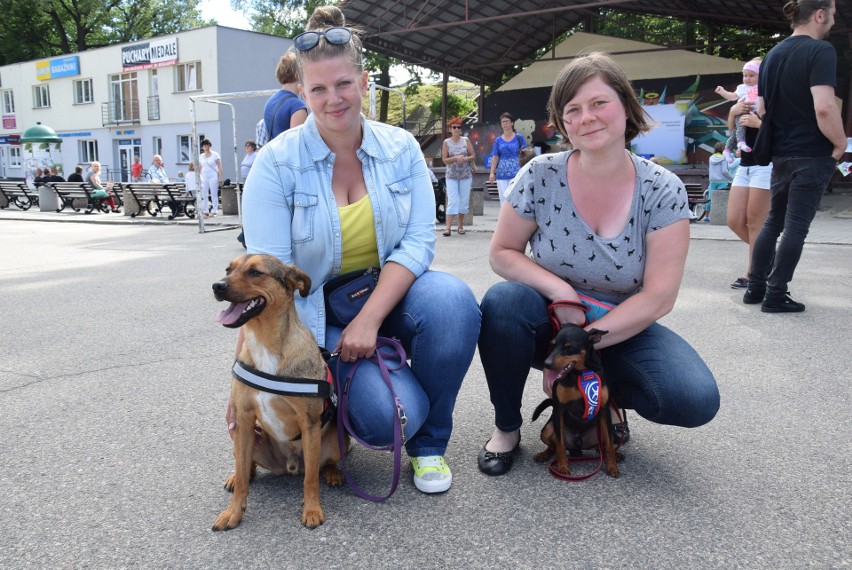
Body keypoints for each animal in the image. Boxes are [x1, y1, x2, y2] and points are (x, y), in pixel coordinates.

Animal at [211, 253, 344, 528]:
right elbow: (242, 476)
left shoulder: (309, 423)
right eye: (229, 269)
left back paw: (333, 473)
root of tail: (289, 466)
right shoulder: (243, 418)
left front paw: (312, 509)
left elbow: (310, 479)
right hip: (245, 437)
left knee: (320, 466)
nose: (217, 286)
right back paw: (238, 476)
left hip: (338, 441)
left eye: (255, 272)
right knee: (244, 464)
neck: (265, 343)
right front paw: (233, 512)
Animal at [532, 322, 620, 478]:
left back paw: (616, 455)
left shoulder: (604, 411)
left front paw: (612, 467)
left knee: (602, 446)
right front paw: (562, 467)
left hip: (605, 431)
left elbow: (609, 445)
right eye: (553, 345)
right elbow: (560, 445)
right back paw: (544, 454)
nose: (546, 363)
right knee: (553, 446)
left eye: (569, 348)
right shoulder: (559, 410)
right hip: (547, 430)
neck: (580, 374)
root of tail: (577, 447)